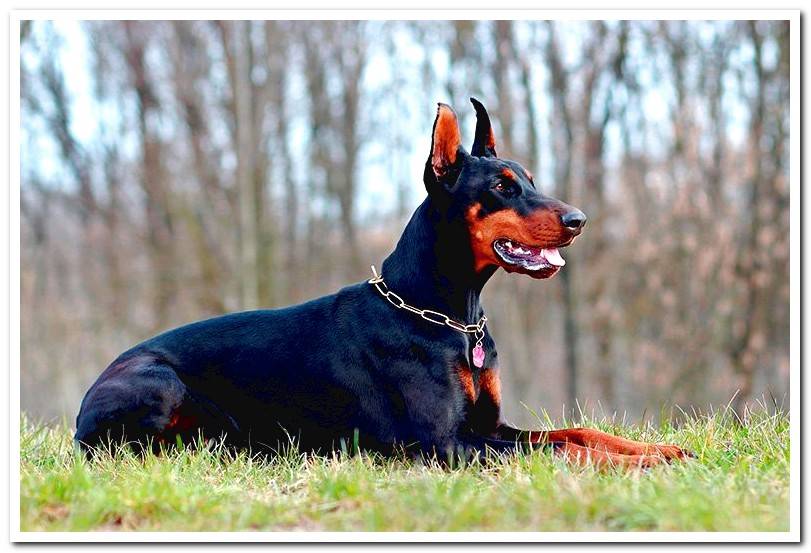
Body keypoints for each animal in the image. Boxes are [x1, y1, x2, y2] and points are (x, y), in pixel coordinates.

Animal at [74, 99, 692, 466]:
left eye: (532, 180)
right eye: (502, 187)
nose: (578, 220)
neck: (447, 317)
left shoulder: (492, 424)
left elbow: (578, 435)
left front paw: (661, 450)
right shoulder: (446, 443)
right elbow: (560, 453)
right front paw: (639, 464)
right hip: (158, 381)